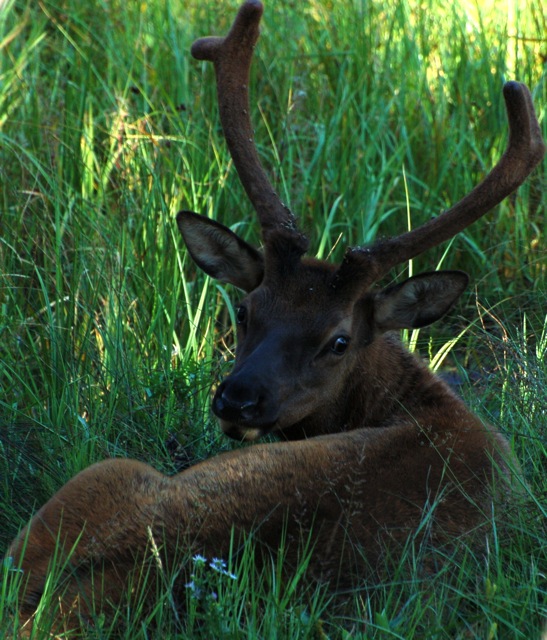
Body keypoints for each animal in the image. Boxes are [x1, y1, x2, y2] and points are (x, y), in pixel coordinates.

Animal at [5, 0, 545, 634]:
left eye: (339, 341)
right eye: (245, 308)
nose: (238, 400)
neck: (424, 401)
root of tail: (48, 612)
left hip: (105, 471)